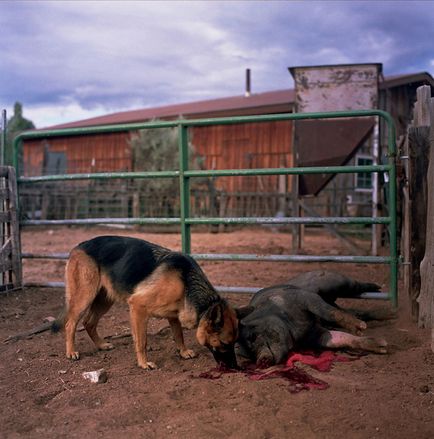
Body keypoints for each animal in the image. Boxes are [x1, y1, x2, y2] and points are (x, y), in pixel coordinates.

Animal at [53, 235, 241, 370]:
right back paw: (71, 352)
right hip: (85, 297)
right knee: (70, 324)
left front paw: (183, 352)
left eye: (234, 343)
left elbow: (178, 335)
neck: (186, 282)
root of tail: (80, 245)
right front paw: (143, 363)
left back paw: (101, 345)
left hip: (105, 300)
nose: (236, 367)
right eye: (224, 343)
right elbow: (142, 341)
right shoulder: (137, 306)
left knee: (89, 322)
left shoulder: (173, 315)